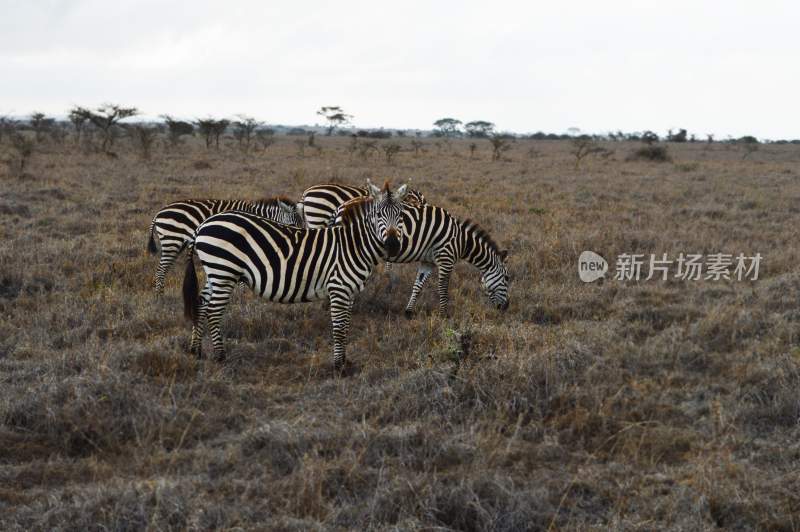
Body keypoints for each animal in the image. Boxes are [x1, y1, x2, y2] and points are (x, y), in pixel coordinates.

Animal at [147, 197, 304, 296]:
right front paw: (243, 298)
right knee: (161, 271)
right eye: (292, 225)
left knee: (164, 270)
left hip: (175, 245)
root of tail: (159, 212)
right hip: (171, 242)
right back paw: (159, 298)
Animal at [184, 181, 410, 368]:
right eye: (379, 215)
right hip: (224, 272)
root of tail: (202, 225)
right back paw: (220, 357)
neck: (353, 245)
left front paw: (345, 361)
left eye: (400, 216)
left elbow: (346, 326)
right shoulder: (338, 288)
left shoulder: (350, 291)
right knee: (214, 311)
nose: (392, 245)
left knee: (201, 303)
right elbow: (338, 328)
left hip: (214, 273)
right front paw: (339, 366)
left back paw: (196, 350)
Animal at [332, 200, 512, 316]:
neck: (460, 241)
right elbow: (442, 288)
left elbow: (417, 285)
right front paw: (444, 315)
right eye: (507, 278)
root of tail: (341, 207)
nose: (506, 307)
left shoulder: (428, 262)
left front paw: (409, 312)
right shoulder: (446, 259)